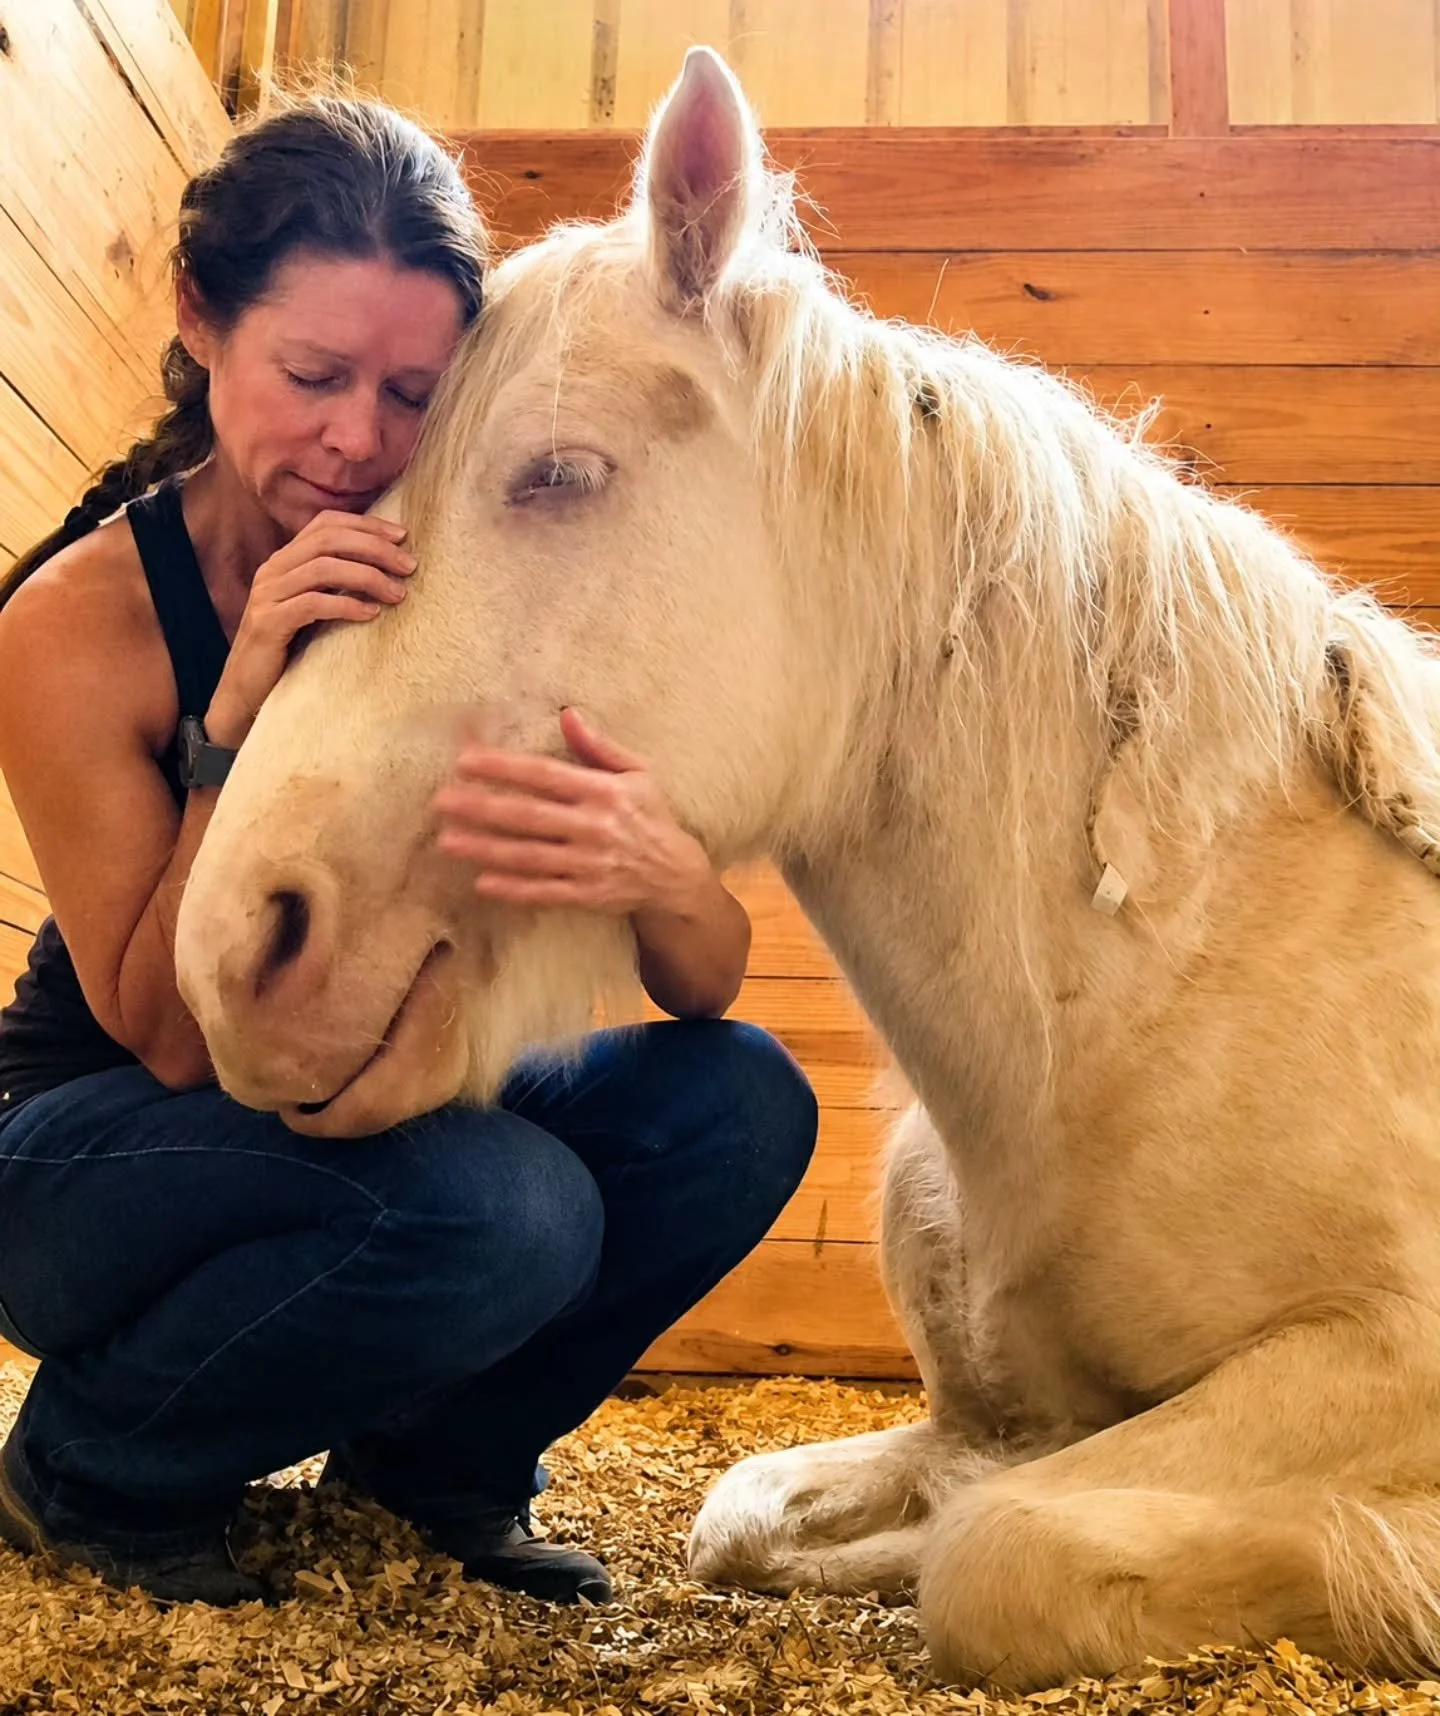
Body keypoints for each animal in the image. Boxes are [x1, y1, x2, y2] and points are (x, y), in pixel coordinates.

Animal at [175, 47, 1440, 1690]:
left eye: (557, 473)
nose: (241, 946)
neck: (1170, 991)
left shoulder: (1373, 1362)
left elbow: (1001, 1549)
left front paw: (1393, 1572)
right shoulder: (980, 1409)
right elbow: (769, 1517)